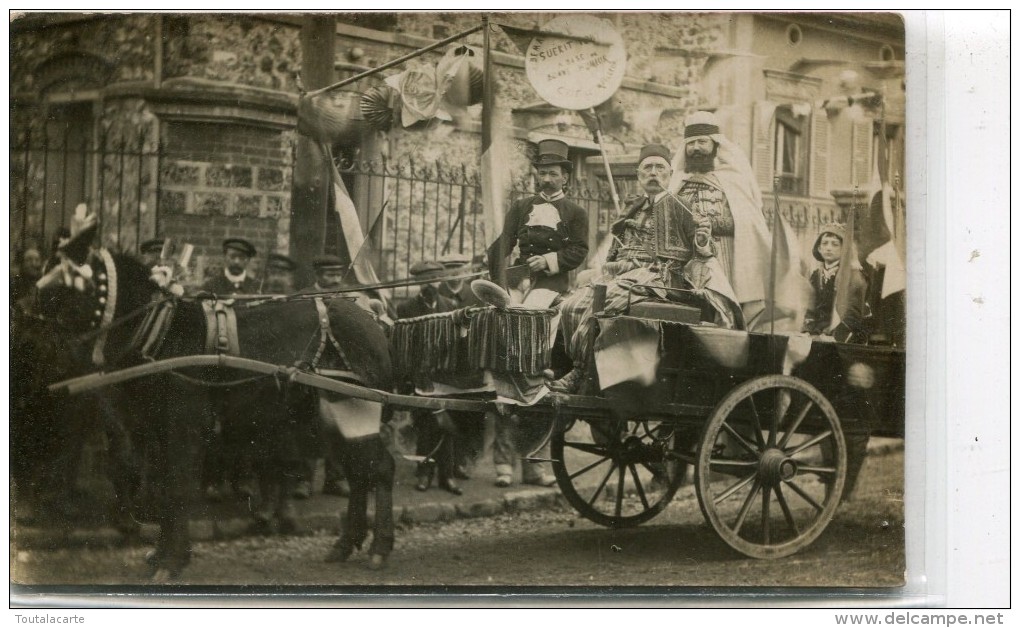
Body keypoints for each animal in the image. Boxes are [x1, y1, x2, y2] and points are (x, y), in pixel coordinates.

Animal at [31, 245, 393, 579]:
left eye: (67, 276)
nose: (28, 305)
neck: (163, 334)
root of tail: (372, 319)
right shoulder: (158, 428)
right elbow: (164, 485)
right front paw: (162, 555)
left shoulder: (183, 424)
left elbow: (178, 485)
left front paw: (173, 561)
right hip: (332, 416)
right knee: (360, 472)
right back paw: (345, 545)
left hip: (357, 408)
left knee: (380, 468)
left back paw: (379, 549)